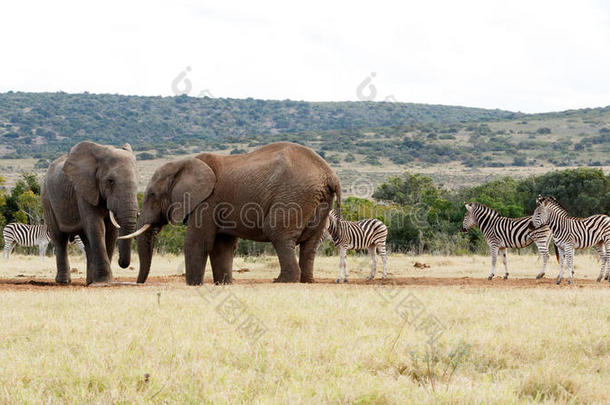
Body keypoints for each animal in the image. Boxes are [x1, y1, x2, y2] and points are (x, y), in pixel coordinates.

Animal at [42, 141, 138, 284]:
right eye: (110, 181)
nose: (121, 263)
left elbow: (111, 231)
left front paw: (103, 282)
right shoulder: (83, 190)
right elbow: (97, 226)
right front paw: (104, 281)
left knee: (86, 242)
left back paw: (89, 281)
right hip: (47, 198)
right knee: (59, 239)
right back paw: (63, 281)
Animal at [121, 142, 340, 284]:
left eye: (151, 195)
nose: (139, 283)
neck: (183, 163)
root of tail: (330, 175)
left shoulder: (206, 202)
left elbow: (198, 242)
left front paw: (194, 285)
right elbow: (222, 246)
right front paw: (223, 284)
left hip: (293, 195)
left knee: (278, 234)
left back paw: (282, 281)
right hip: (317, 200)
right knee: (311, 244)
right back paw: (306, 281)